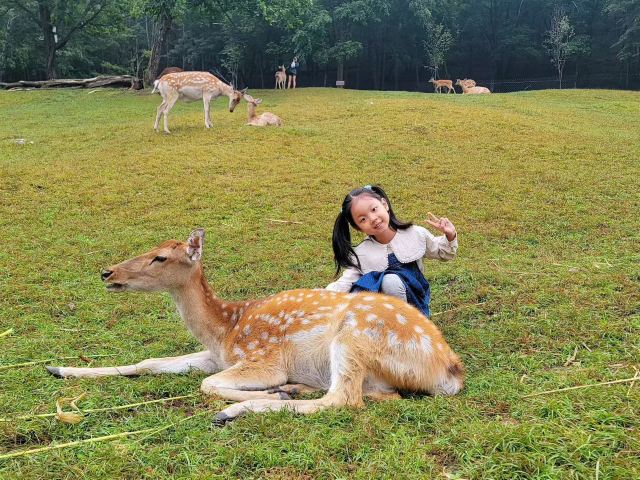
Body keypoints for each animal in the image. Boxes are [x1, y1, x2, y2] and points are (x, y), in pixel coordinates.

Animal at [46, 229, 464, 425]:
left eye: (160, 257)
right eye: (149, 248)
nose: (107, 272)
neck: (225, 329)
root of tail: (450, 371)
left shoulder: (261, 359)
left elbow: (207, 384)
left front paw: (269, 393)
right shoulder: (217, 356)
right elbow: (149, 363)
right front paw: (59, 368)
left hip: (355, 335)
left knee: (343, 399)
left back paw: (243, 408)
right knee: (378, 395)